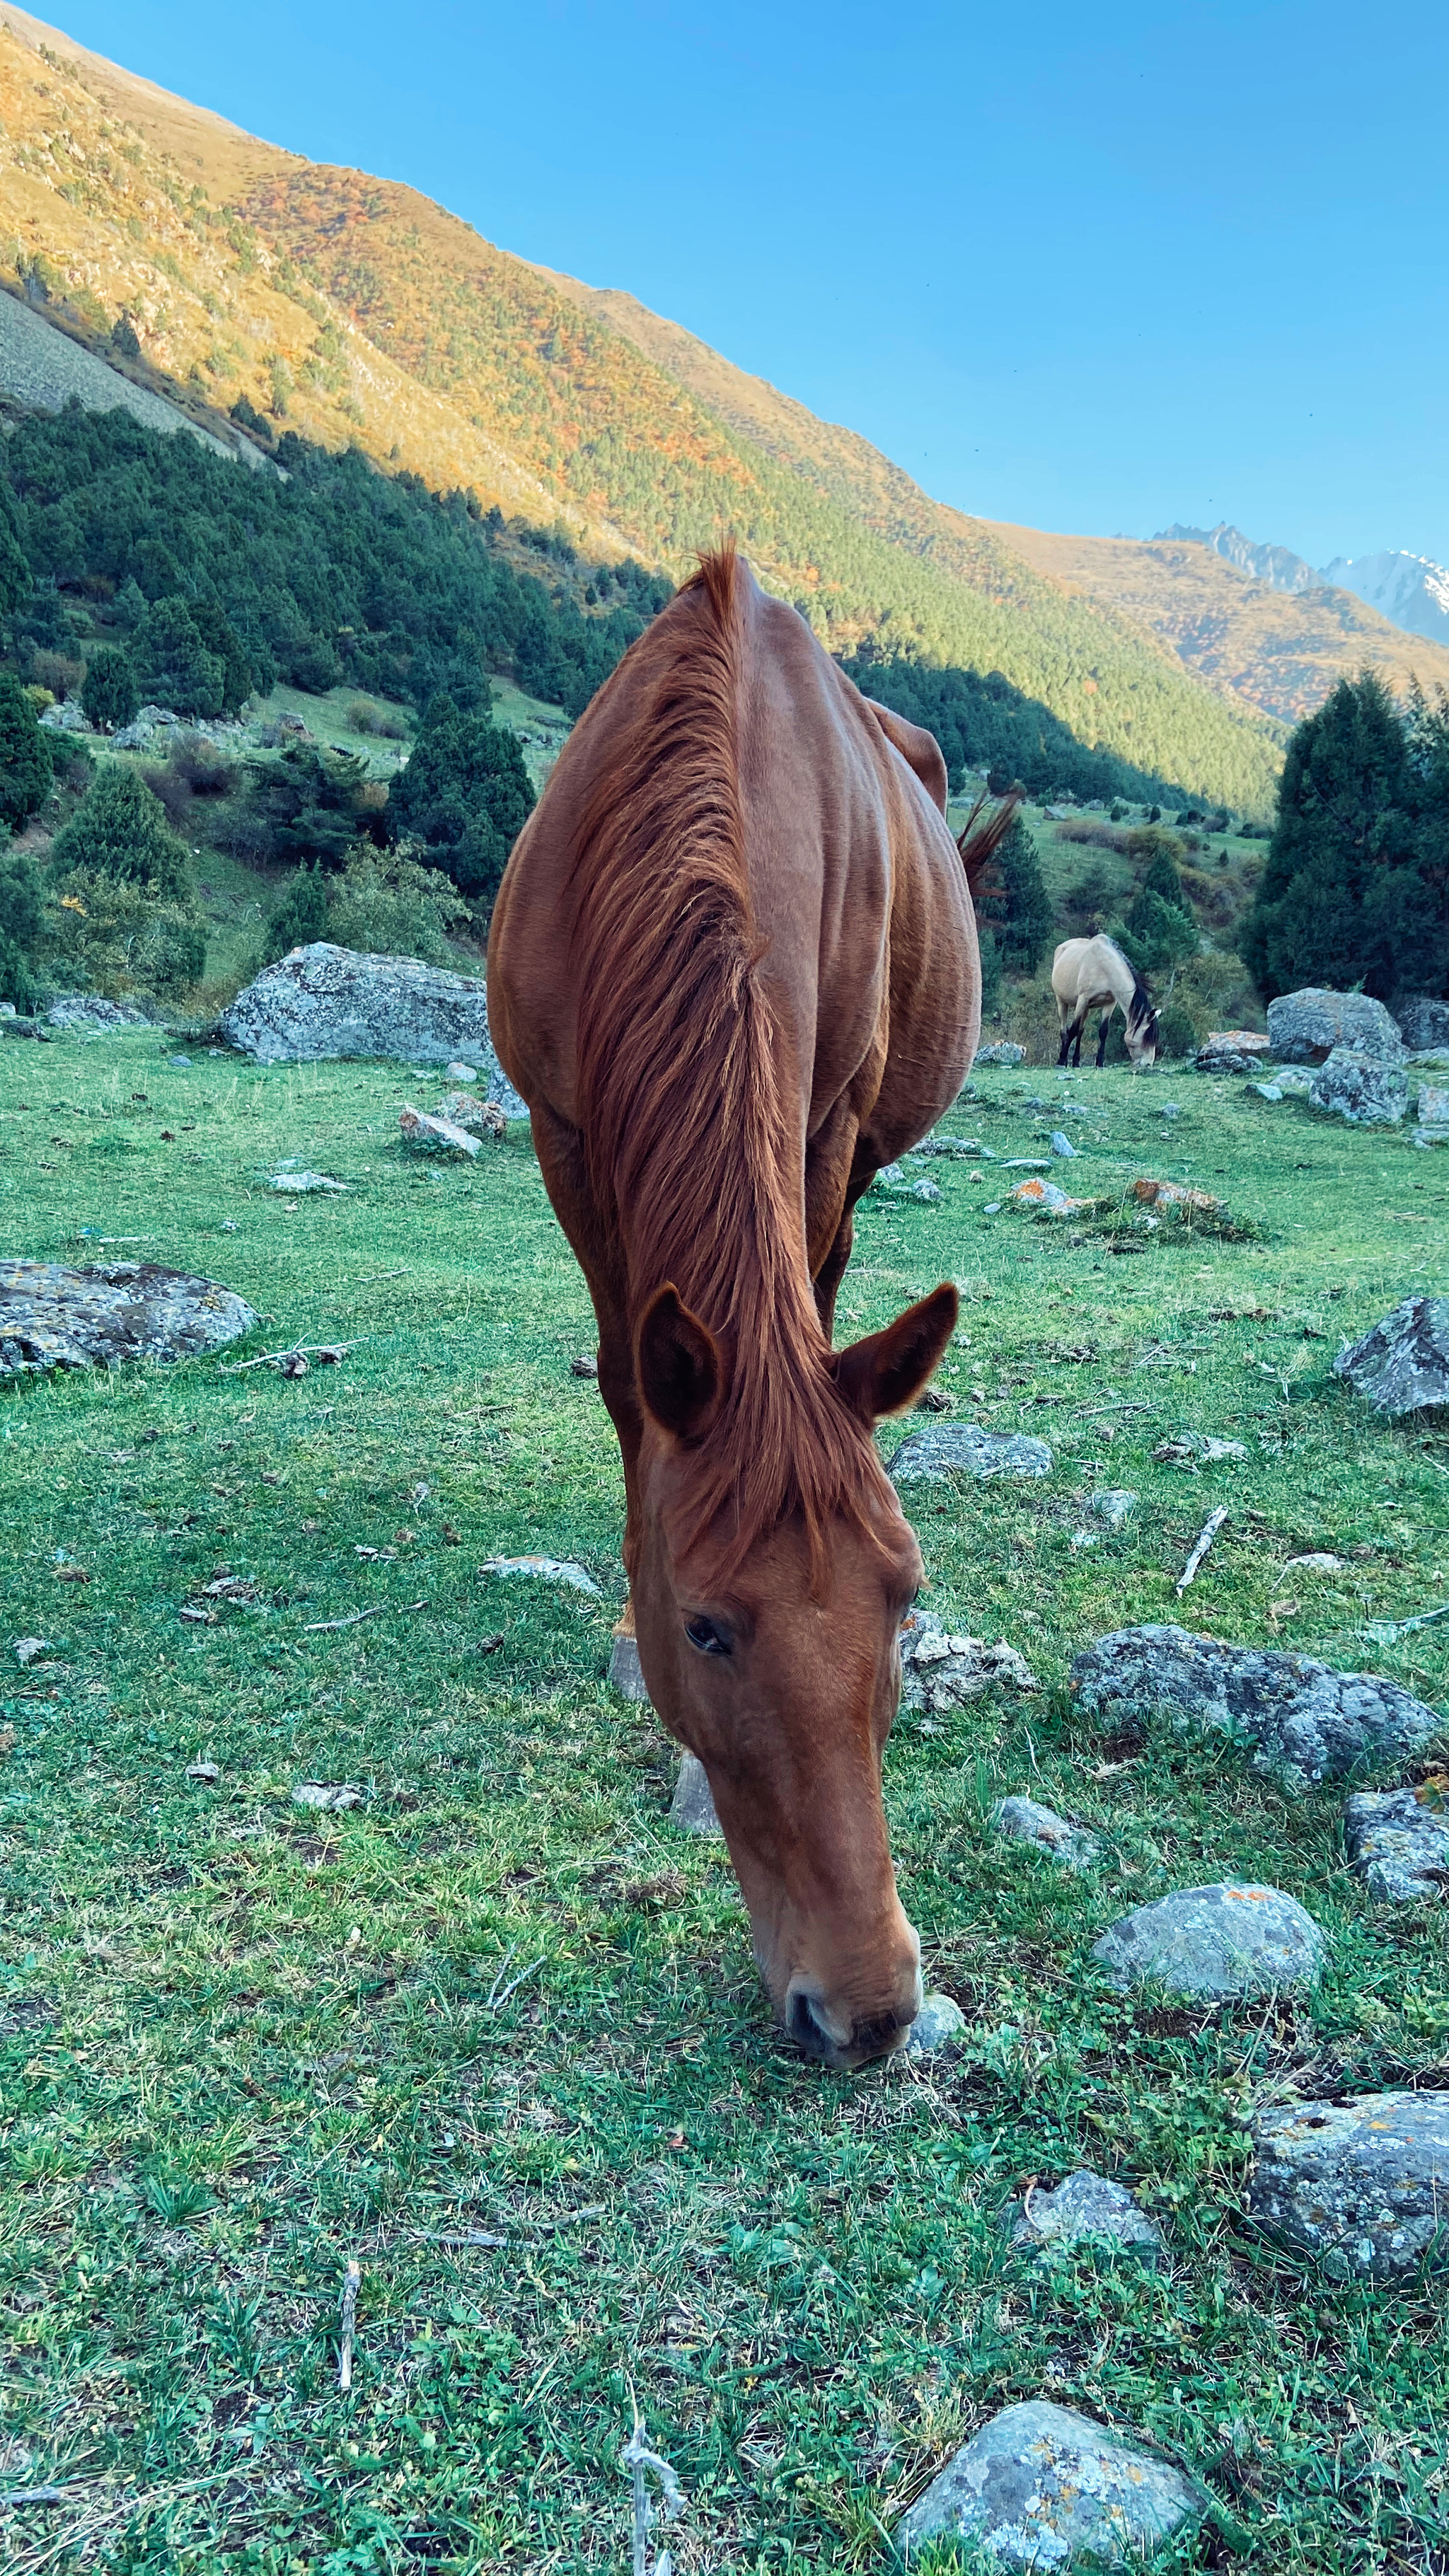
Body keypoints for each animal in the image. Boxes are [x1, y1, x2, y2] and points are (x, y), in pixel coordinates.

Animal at [485, 548, 1005, 2071]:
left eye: (904, 1601)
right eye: (706, 1627)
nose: (872, 2009)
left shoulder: (823, 1117)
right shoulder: (564, 1132)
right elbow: (626, 1386)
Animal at [1046, 937, 1150, 1066]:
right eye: (1143, 1039)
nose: (1148, 1064)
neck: (1103, 967)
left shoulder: (1110, 1003)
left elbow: (1103, 1031)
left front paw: (1100, 1062)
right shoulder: (1082, 1000)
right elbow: (1073, 1030)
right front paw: (1061, 1061)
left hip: (1086, 1009)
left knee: (1080, 1032)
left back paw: (1076, 1062)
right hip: (1062, 1001)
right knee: (1064, 1031)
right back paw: (1064, 1060)